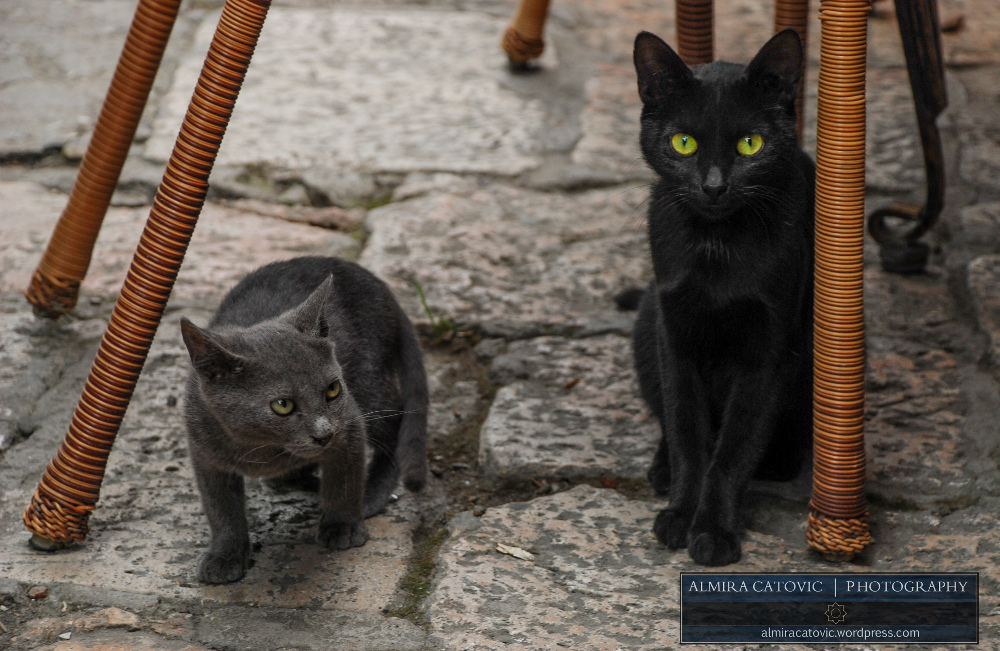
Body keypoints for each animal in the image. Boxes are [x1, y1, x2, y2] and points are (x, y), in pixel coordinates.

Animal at [180, 256, 428, 584]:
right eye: (282, 405)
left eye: (333, 389)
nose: (324, 433)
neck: (262, 447)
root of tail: (383, 289)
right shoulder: (204, 451)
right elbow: (220, 506)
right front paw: (225, 554)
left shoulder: (349, 424)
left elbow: (343, 480)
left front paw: (341, 526)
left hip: (369, 384)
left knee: (395, 425)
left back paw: (371, 492)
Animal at [627, 29, 815, 566]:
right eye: (683, 143)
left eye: (750, 144)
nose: (713, 186)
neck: (717, 249)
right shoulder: (675, 336)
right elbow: (688, 433)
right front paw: (679, 514)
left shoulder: (769, 351)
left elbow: (733, 449)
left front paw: (713, 532)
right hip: (646, 320)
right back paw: (661, 469)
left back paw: (781, 460)